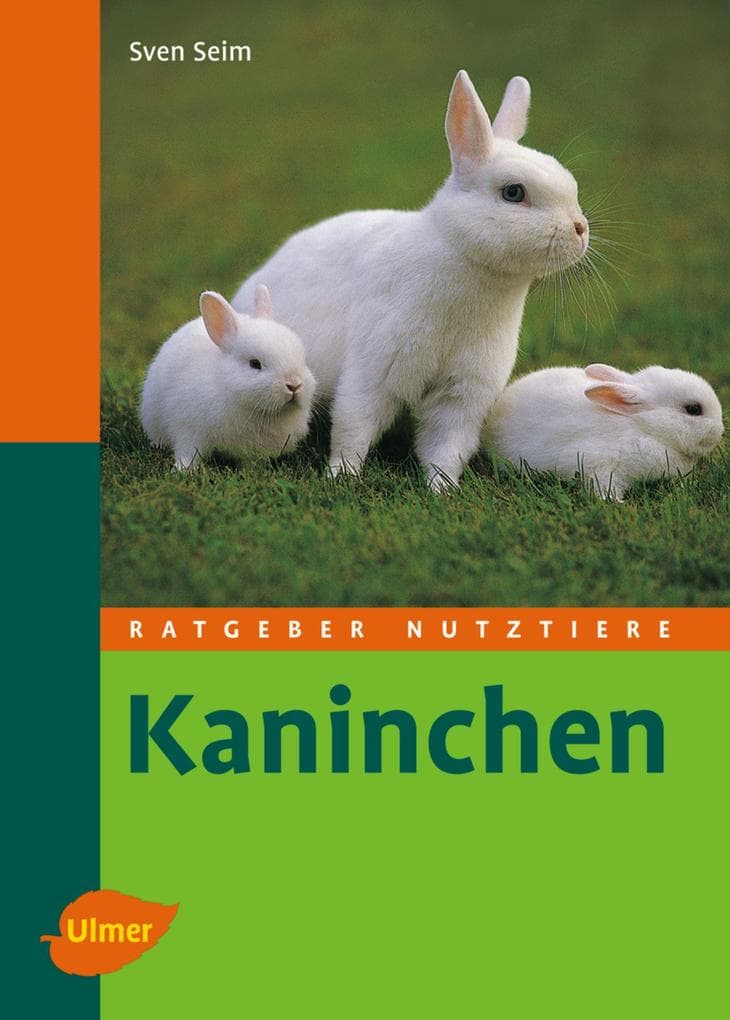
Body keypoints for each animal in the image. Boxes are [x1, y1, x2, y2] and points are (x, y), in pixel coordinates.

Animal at [140, 285, 316, 470]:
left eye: (302, 359)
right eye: (255, 364)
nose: (294, 384)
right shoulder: (189, 430)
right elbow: (188, 452)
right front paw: (183, 470)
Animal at [232, 70, 589, 491]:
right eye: (514, 193)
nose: (581, 229)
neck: (466, 265)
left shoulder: (462, 395)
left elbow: (447, 446)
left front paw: (442, 489)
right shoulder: (373, 371)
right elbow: (353, 428)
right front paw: (342, 477)